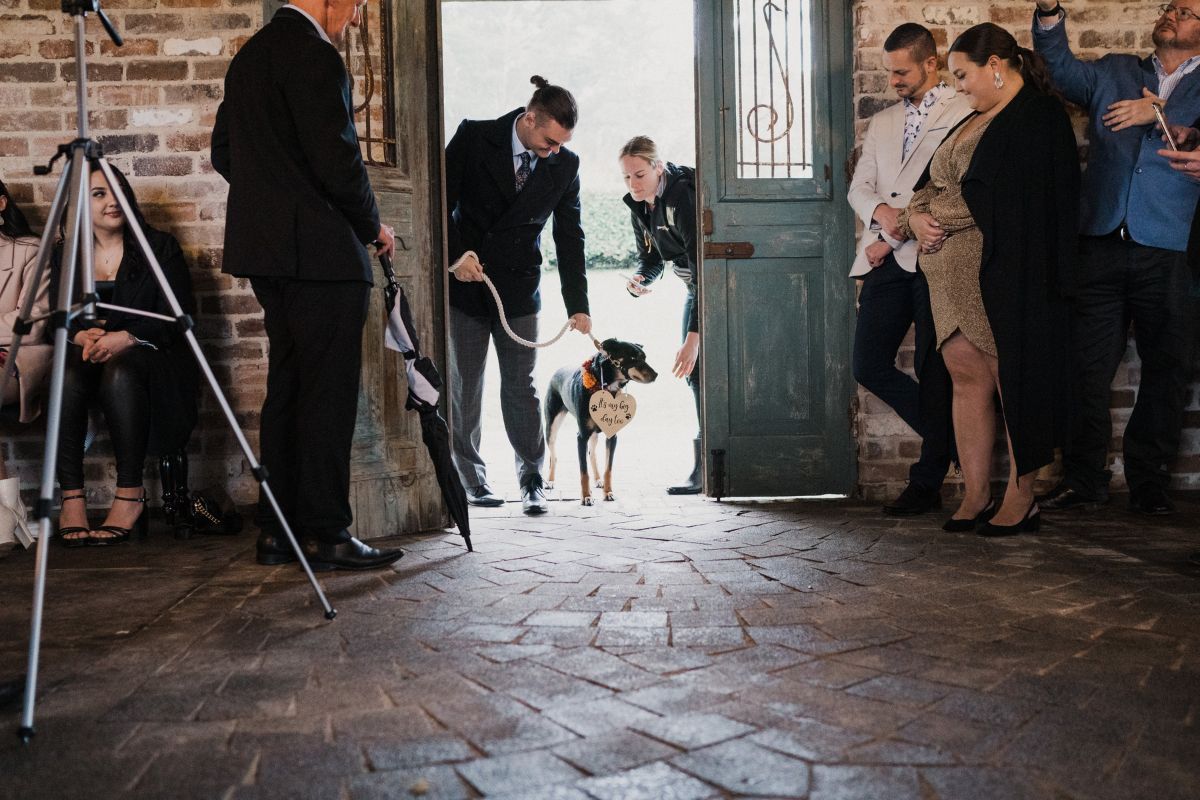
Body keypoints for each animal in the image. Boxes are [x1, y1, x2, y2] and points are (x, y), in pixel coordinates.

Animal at [544, 340, 657, 506]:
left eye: (644, 357)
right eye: (633, 358)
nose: (656, 375)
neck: (606, 385)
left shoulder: (612, 436)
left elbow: (608, 469)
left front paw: (608, 493)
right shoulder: (582, 436)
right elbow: (583, 472)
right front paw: (586, 497)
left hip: (594, 434)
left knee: (592, 454)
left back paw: (597, 480)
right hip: (552, 428)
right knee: (554, 455)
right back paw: (550, 481)